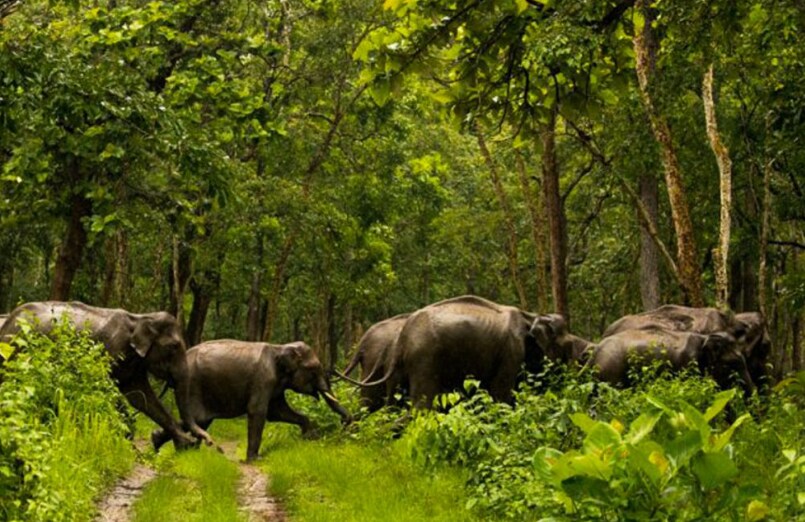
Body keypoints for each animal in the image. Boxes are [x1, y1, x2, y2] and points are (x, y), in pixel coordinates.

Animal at [0, 301, 212, 449]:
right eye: (174, 346)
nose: (206, 442)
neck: (141, 318)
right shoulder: (109, 351)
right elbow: (106, 389)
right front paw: (128, 438)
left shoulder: (135, 365)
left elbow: (142, 398)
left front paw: (184, 443)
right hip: (14, 350)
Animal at [150, 339, 352, 461]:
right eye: (313, 369)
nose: (346, 421)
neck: (280, 347)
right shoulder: (263, 379)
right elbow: (258, 411)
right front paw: (254, 460)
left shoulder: (275, 385)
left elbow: (277, 412)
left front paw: (309, 437)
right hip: (192, 386)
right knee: (198, 419)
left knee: (198, 421)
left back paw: (165, 444)